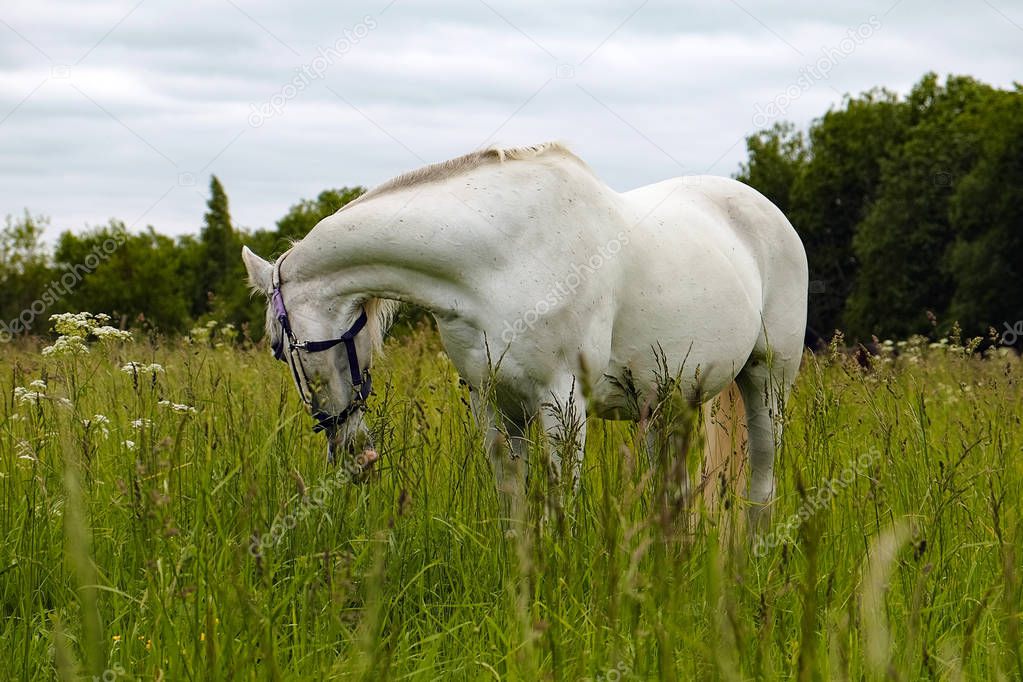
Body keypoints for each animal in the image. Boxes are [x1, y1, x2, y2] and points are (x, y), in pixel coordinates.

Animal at [241, 141, 806, 519]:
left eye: (279, 349)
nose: (353, 454)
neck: (500, 256)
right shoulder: (492, 403)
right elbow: (513, 505)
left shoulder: (563, 405)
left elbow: (560, 508)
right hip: (669, 405)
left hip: (768, 383)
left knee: (762, 485)